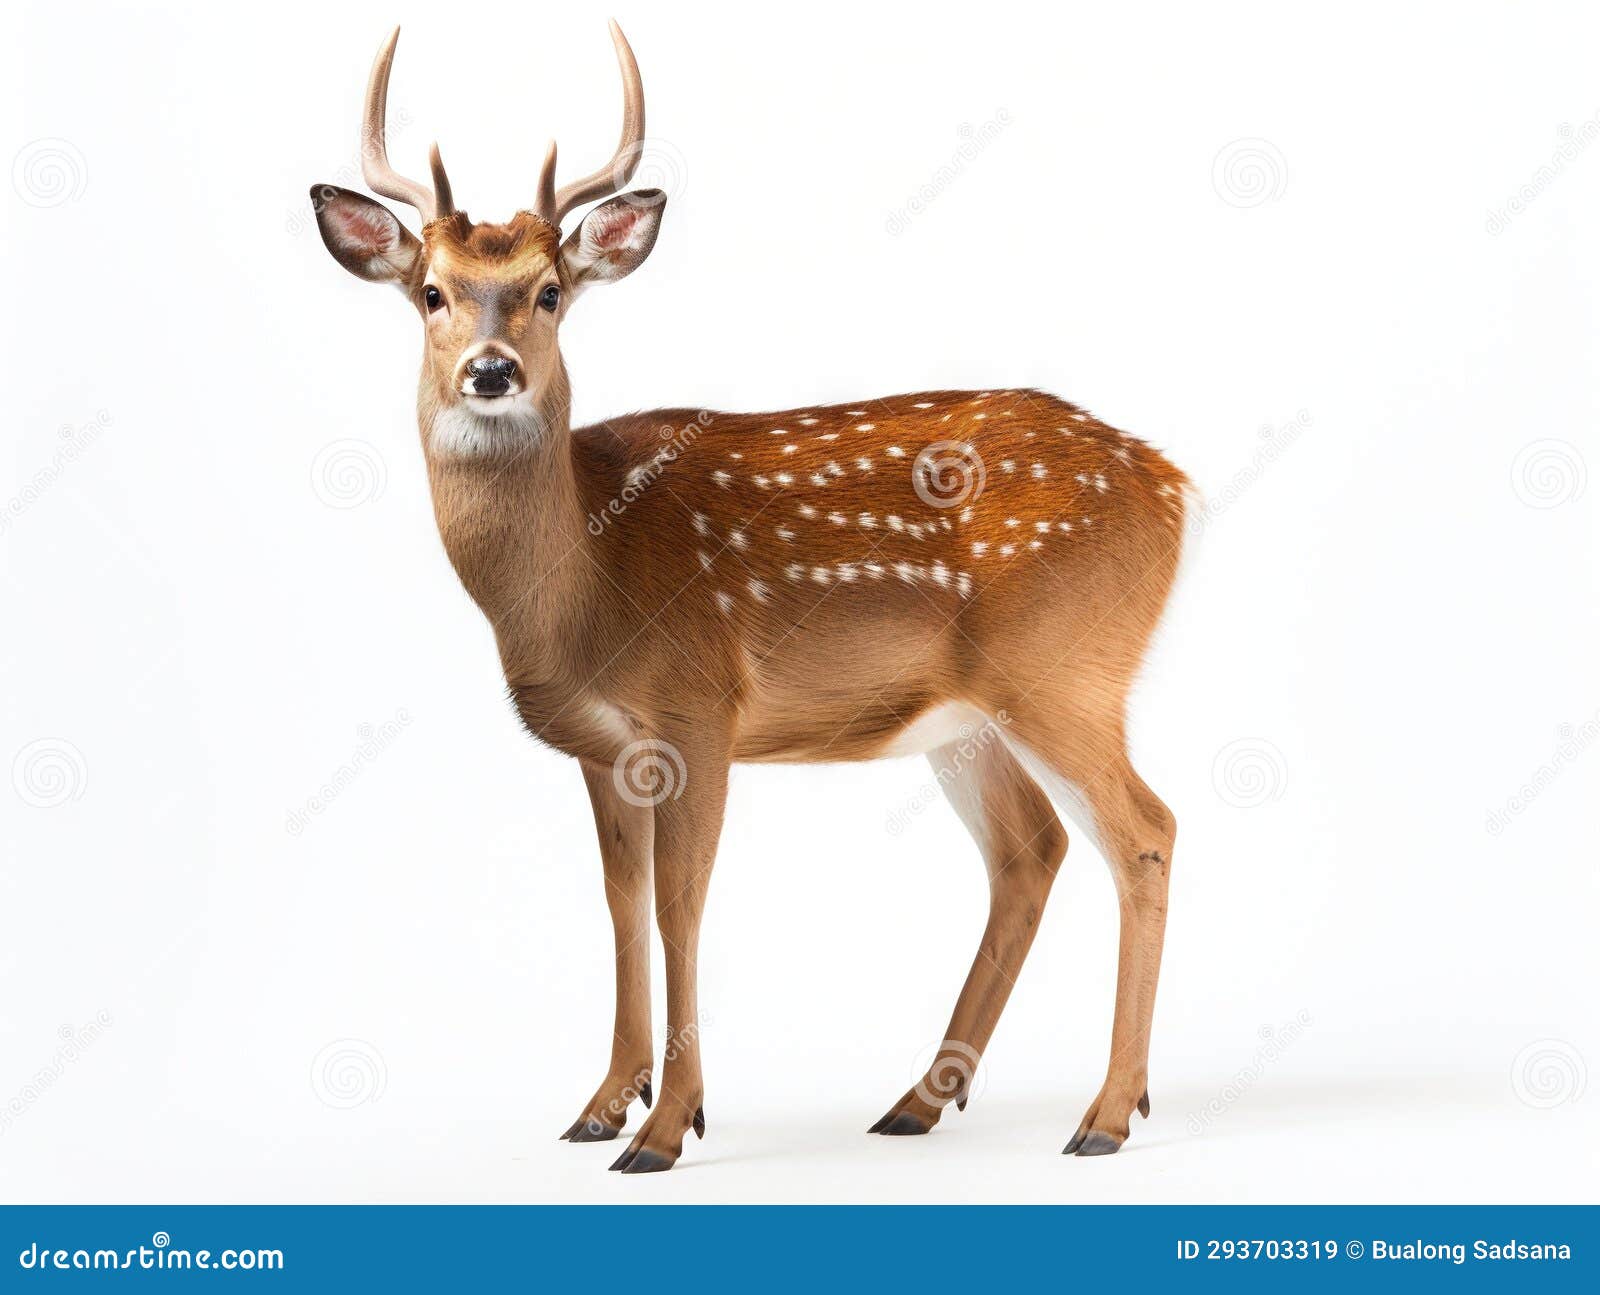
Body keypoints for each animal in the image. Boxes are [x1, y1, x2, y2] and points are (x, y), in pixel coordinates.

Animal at [311, 22, 1193, 1173]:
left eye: (551, 291)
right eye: (430, 291)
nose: (491, 371)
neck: (585, 581)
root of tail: (1174, 485)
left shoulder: (697, 707)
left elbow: (682, 907)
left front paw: (666, 1127)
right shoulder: (603, 746)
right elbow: (622, 905)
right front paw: (602, 1102)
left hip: (1065, 665)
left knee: (1143, 828)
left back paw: (1105, 1113)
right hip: (971, 715)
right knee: (1028, 849)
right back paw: (917, 1099)